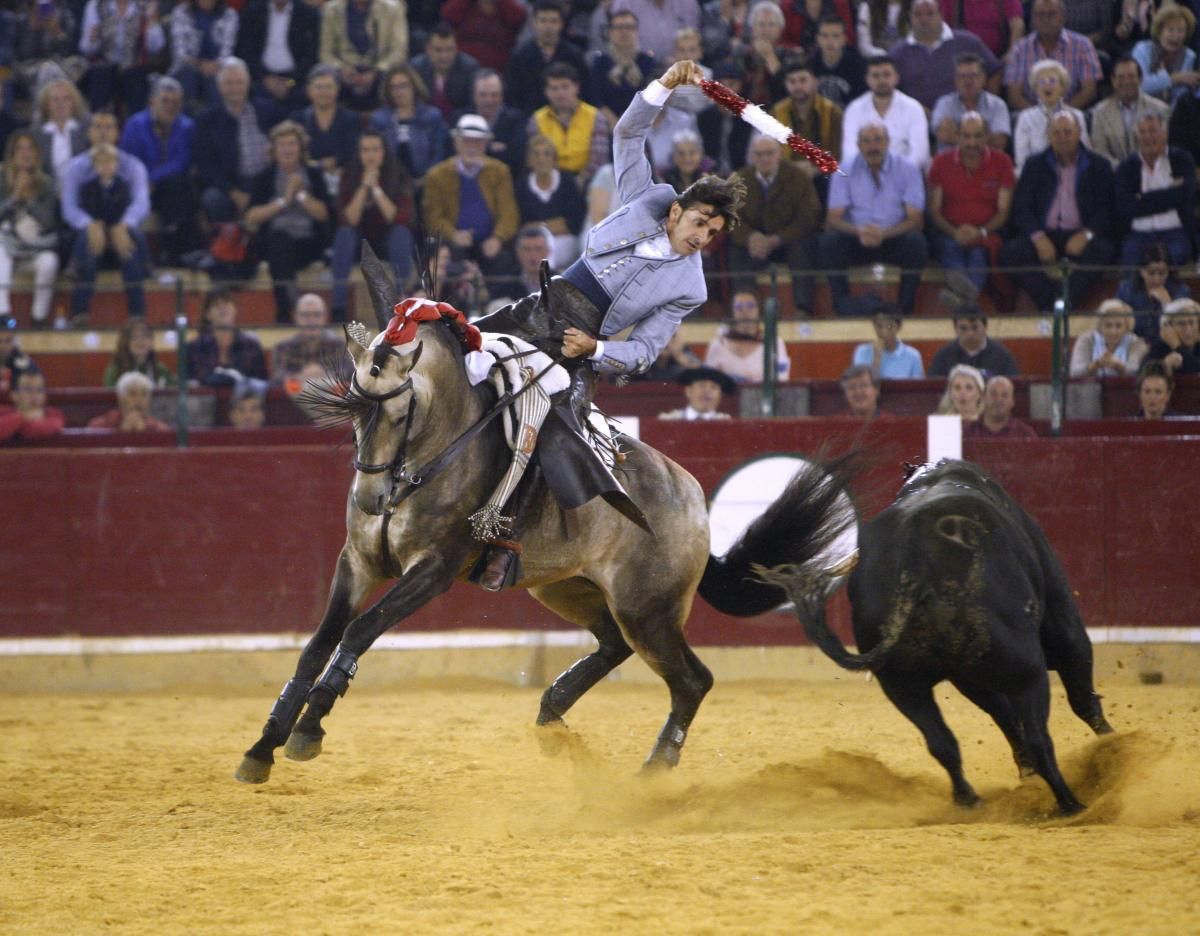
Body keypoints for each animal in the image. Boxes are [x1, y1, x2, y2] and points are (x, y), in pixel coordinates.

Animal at [768, 458, 1113, 811]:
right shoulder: (1063, 627)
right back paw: (1072, 805)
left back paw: (969, 799)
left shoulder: (963, 678)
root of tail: (914, 562)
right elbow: (1080, 695)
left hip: (903, 684)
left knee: (944, 742)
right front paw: (1112, 744)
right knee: (1039, 736)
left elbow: (1000, 716)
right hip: (1025, 670)